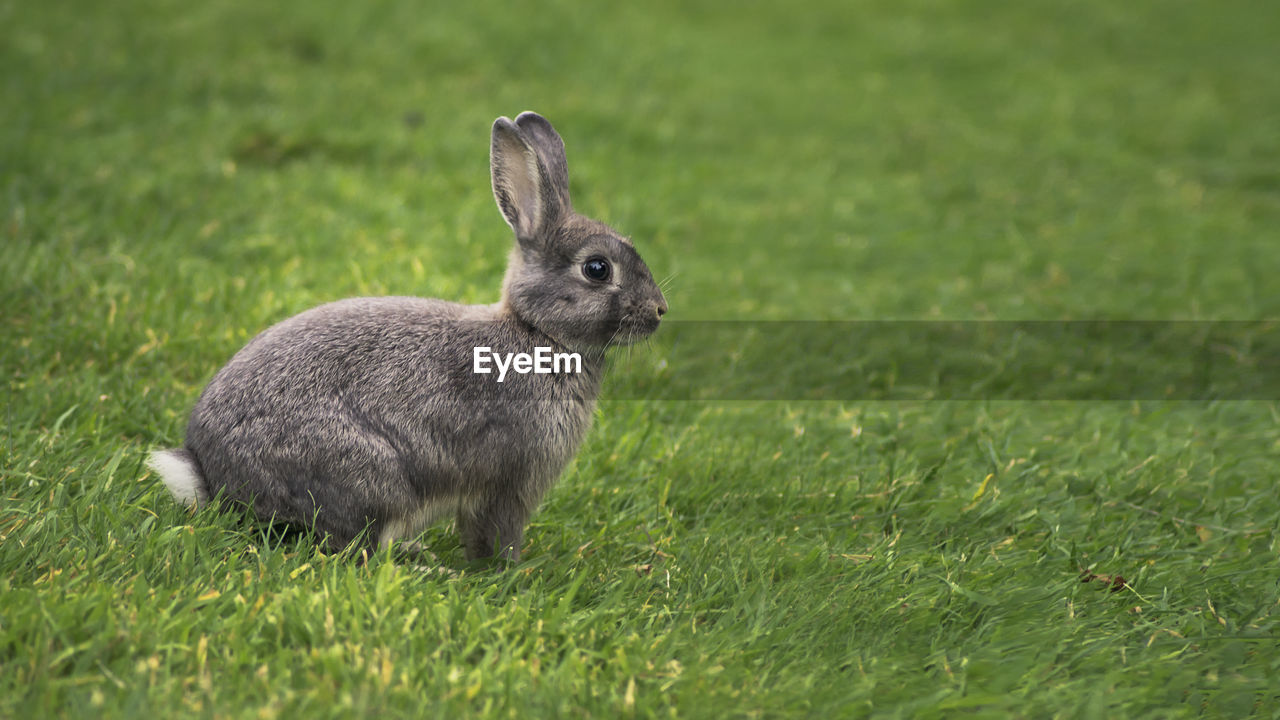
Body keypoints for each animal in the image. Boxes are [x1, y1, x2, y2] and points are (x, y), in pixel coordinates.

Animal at [147, 112, 670, 561]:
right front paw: (510, 574)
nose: (660, 311)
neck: (537, 333)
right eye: (597, 269)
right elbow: (495, 533)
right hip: (371, 478)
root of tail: (214, 478)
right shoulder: (508, 483)